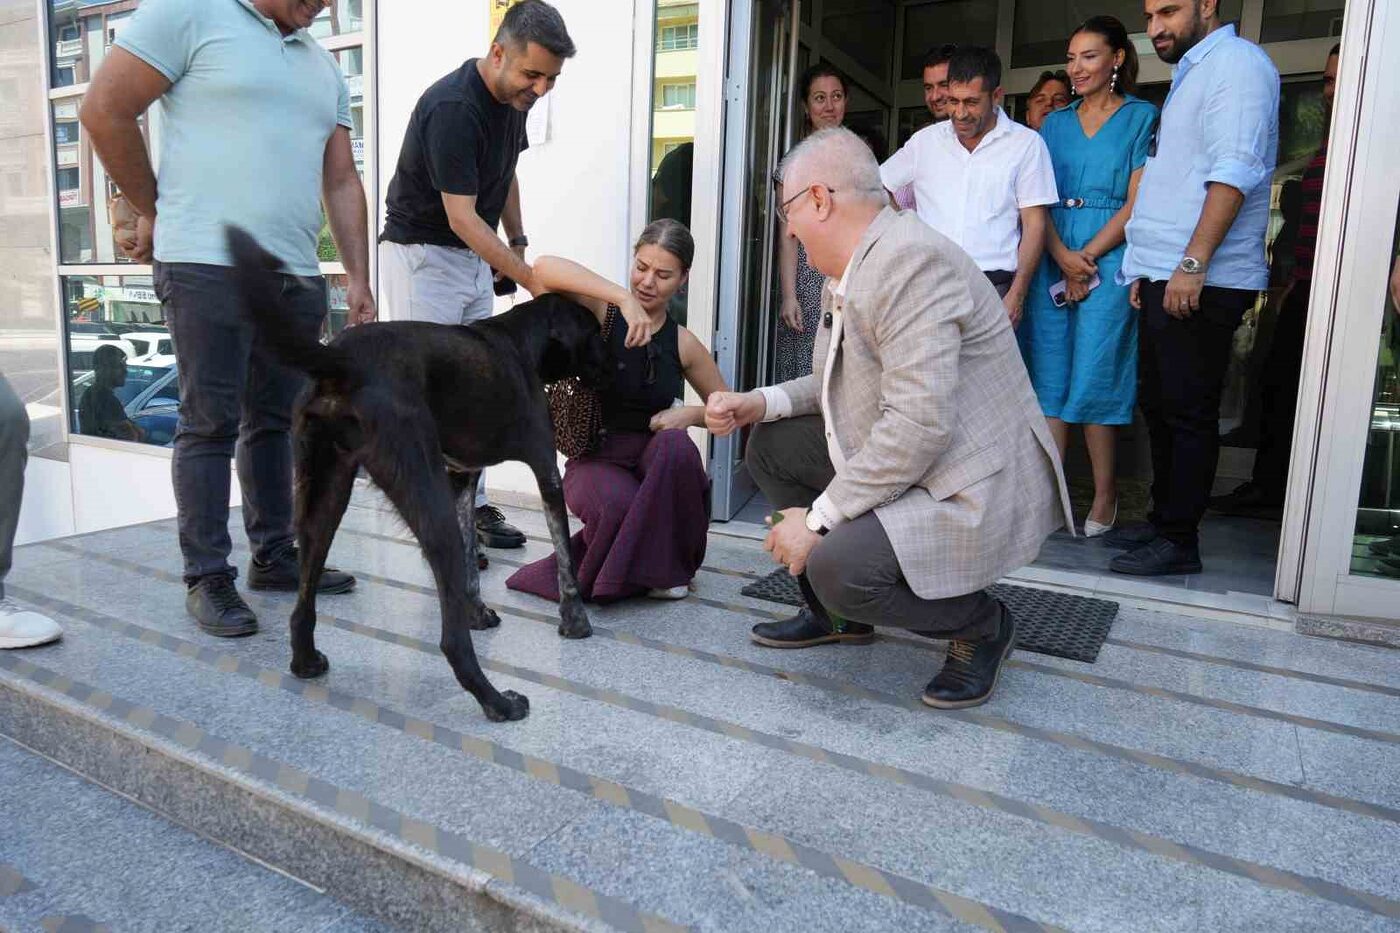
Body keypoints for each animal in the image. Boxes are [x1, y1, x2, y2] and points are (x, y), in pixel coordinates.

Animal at [226, 224, 604, 717]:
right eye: (595, 331)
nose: (616, 358)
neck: (522, 338)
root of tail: (342, 362)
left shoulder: (461, 477)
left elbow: (470, 560)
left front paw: (478, 612)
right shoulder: (544, 469)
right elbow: (563, 558)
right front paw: (575, 621)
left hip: (325, 494)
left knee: (302, 600)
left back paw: (305, 661)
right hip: (422, 493)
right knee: (450, 643)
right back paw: (497, 702)